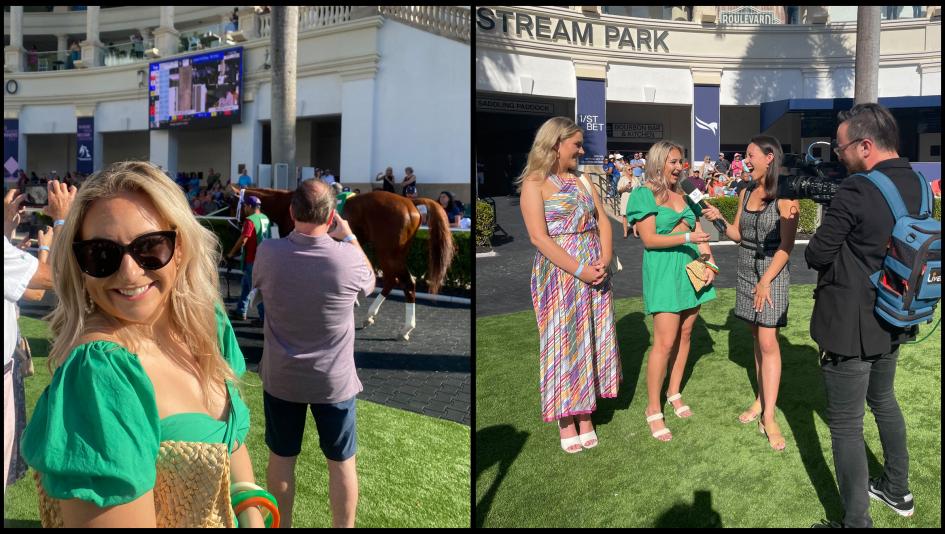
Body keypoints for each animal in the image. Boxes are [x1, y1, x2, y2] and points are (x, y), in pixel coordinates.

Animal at [227, 186, 454, 340]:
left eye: (230, 202)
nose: (232, 224)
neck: (287, 205)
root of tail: (410, 202)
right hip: (394, 253)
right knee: (392, 280)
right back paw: (370, 316)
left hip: (389, 252)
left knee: (407, 283)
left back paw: (405, 328)